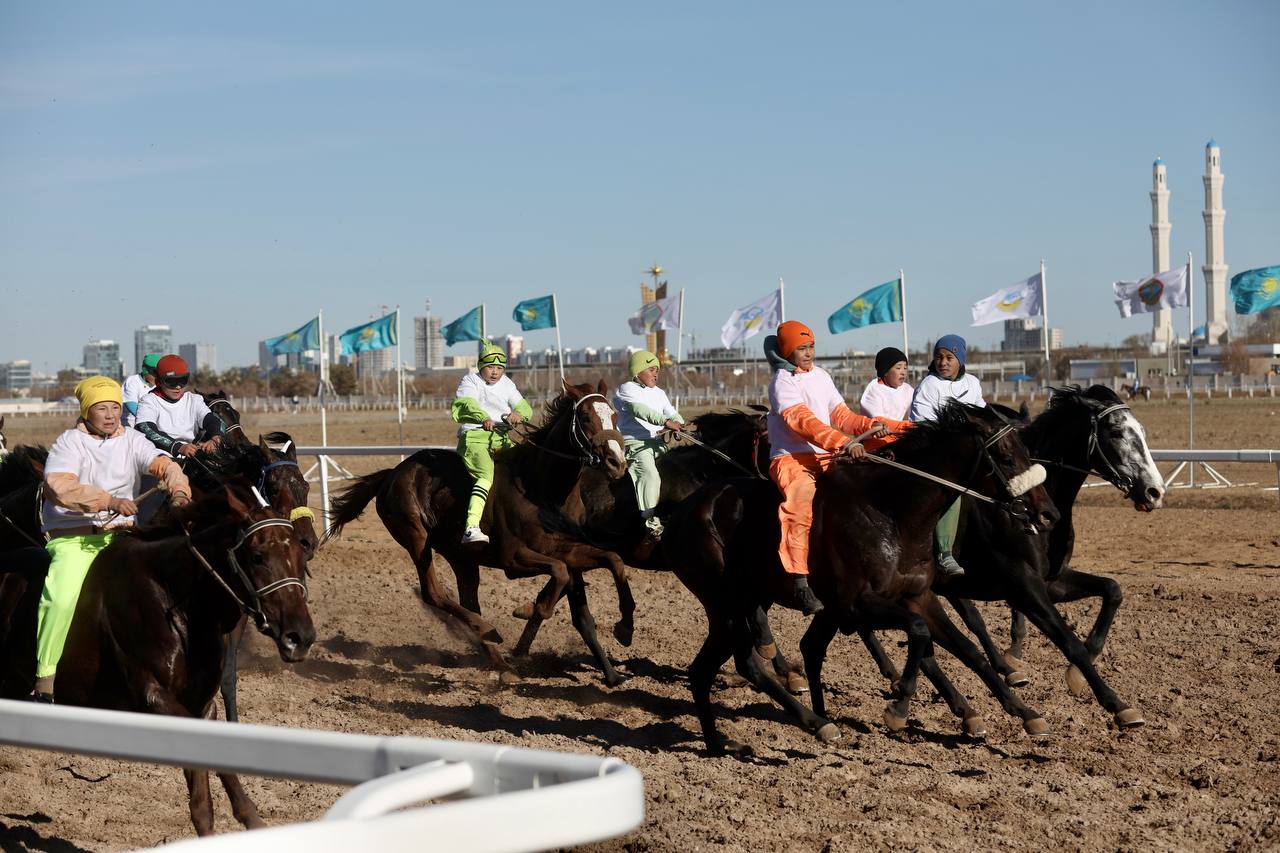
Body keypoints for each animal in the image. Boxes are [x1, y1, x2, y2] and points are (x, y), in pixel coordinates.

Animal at [327, 379, 632, 686]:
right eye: (586, 417)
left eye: (615, 415)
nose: (616, 463)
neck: (542, 489)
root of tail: (392, 473)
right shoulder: (513, 559)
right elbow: (560, 573)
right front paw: (530, 609)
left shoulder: (568, 549)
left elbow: (610, 564)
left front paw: (621, 643)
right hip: (416, 538)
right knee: (433, 592)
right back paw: (489, 631)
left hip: (461, 557)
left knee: (468, 600)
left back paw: (500, 660)